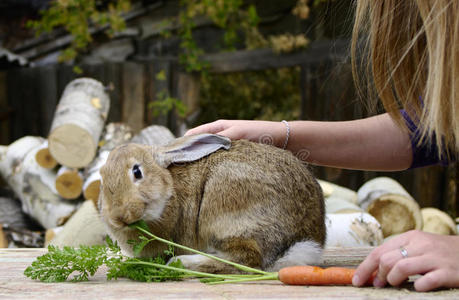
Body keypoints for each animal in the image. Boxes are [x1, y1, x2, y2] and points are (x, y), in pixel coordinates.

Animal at [99, 135, 326, 274]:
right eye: (101, 178)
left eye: (137, 171)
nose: (119, 216)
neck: (169, 190)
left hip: (223, 215)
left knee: (247, 260)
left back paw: (183, 263)